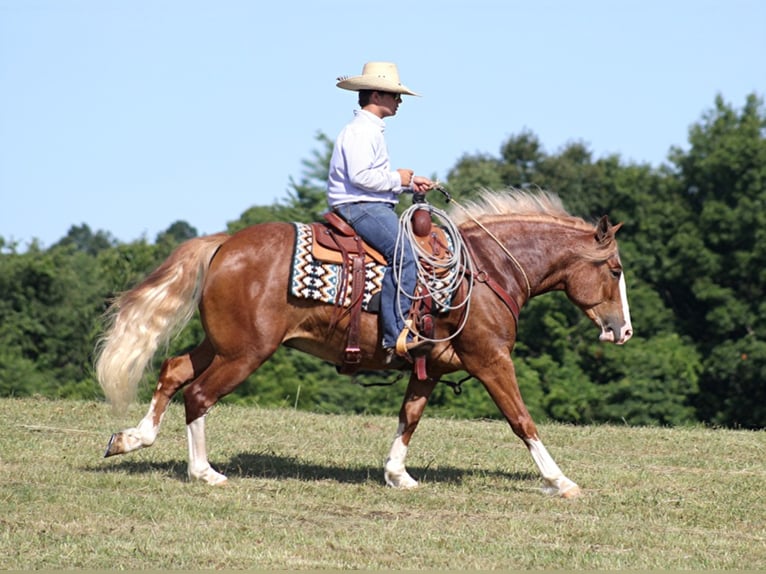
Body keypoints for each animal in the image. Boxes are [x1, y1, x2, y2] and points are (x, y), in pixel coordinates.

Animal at [94, 190, 636, 500]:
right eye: (614, 270)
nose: (624, 330)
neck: (484, 270)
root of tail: (225, 243)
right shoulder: (490, 359)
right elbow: (521, 419)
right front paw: (559, 480)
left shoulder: (431, 366)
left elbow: (409, 415)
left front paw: (397, 474)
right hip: (245, 353)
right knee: (199, 394)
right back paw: (203, 472)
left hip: (223, 344)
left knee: (174, 370)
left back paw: (131, 438)